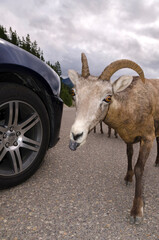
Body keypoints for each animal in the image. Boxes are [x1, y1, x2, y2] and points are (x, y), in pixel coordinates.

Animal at [68, 53, 159, 224]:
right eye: (74, 93)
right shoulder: (128, 138)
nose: (76, 136)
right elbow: (129, 155)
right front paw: (128, 179)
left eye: (108, 98)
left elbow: (139, 168)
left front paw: (136, 212)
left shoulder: (147, 138)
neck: (132, 105)